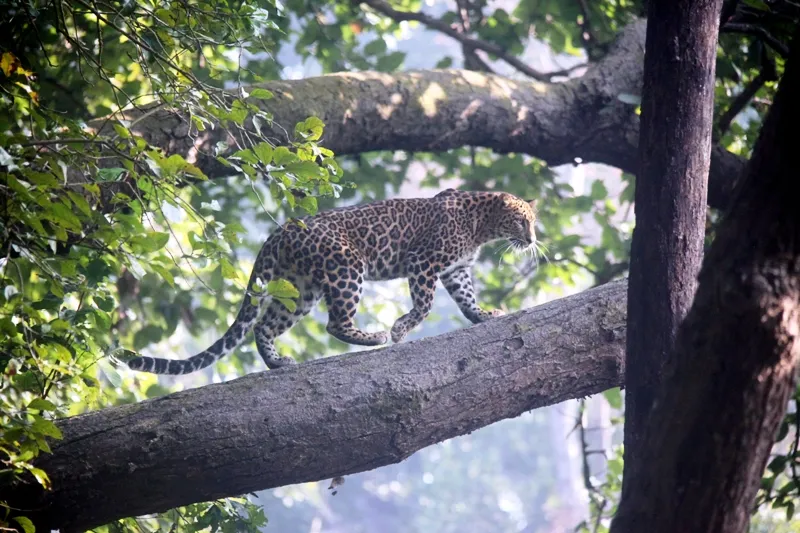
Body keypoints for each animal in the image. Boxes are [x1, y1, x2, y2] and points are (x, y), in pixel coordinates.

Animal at [125, 189, 538, 375]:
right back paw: (374, 337)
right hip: (347, 268)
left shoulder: (456, 270)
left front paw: (485, 315)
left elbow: (467, 300)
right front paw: (400, 329)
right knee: (335, 322)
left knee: (263, 325)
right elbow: (424, 305)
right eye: (522, 221)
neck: (483, 226)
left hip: (300, 289)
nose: (533, 239)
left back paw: (277, 363)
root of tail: (279, 232)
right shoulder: (423, 262)